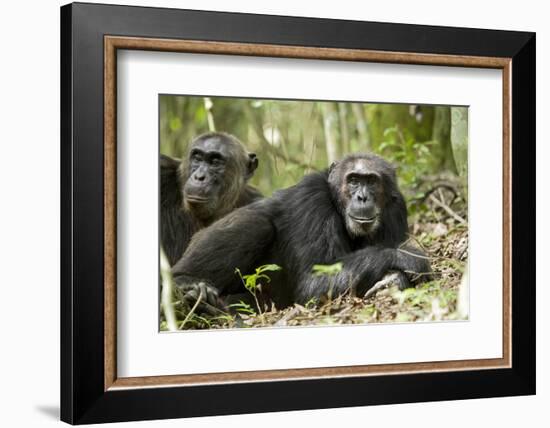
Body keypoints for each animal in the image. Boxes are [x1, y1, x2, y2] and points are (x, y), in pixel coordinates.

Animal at [171, 152, 432, 310]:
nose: (362, 196)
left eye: (372, 181)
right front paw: (409, 258)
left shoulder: (397, 207)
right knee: (256, 224)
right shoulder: (312, 198)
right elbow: (312, 281)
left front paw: (394, 280)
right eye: (354, 180)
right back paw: (188, 285)